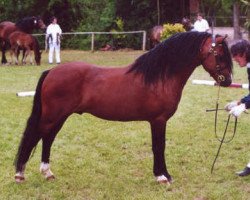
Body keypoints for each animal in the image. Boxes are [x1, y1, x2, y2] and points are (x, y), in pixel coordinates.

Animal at [13, 31, 232, 184]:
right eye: (220, 55)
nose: (228, 81)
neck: (160, 77)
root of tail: (51, 71)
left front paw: (163, 175)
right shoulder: (158, 120)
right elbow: (159, 146)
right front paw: (162, 176)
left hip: (60, 117)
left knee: (47, 138)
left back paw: (47, 173)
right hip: (52, 116)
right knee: (36, 136)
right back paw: (20, 174)